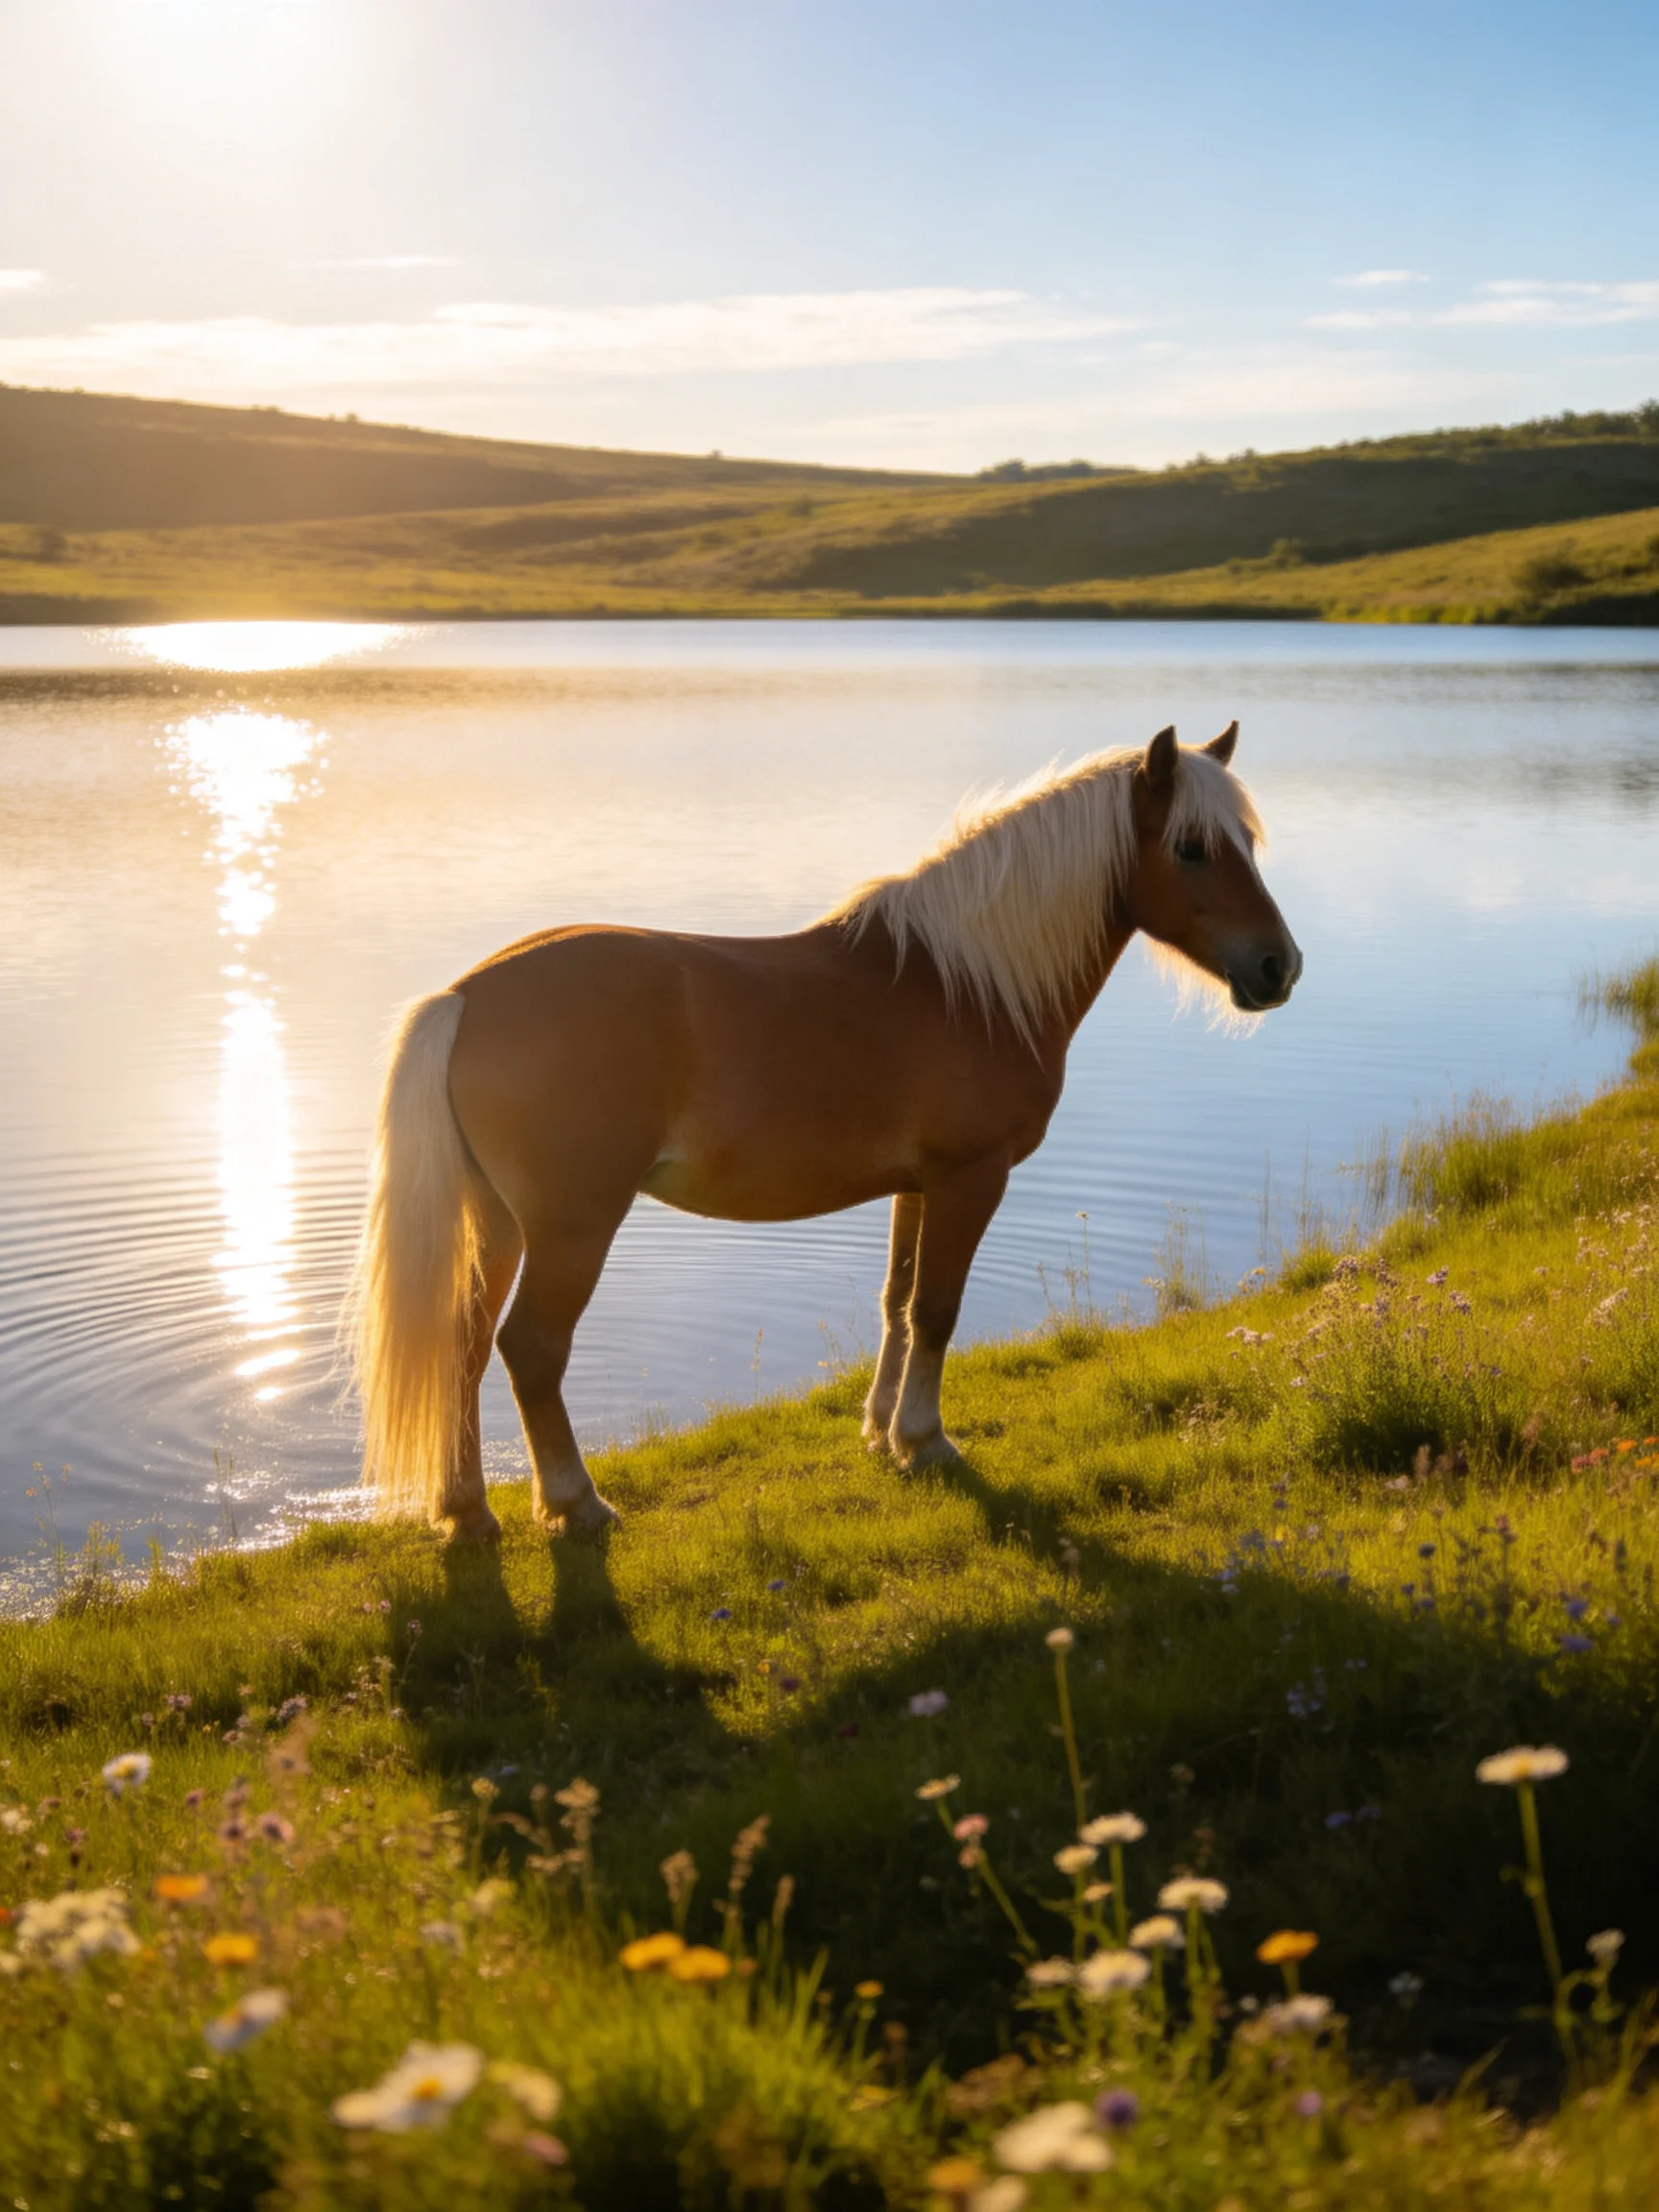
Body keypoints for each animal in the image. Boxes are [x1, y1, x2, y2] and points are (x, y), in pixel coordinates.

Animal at [346, 721, 1301, 1543]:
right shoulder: (971, 1177)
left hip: (497, 1223)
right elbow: (939, 1308)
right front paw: (925, 1440)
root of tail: (466, 996)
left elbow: (898, 1303)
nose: (1278, 967)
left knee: (463, 1348)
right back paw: (577, 1503)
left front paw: (879, 1431)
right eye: (1190, 847)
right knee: (531, 1351)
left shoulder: (918, 1185)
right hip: (571, 1229)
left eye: (1249, 845)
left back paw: (468, 1510)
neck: (967, 985)